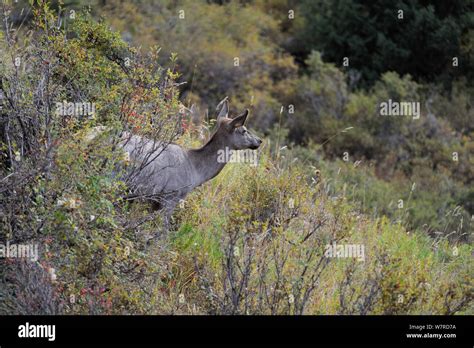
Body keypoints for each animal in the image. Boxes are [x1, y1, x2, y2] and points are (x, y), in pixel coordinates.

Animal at [120, 97, 262, 234]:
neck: (195, 171)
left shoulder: (155, 202)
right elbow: (162, 232)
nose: (259, 140)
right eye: (244, 130)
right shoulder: (171, 196)